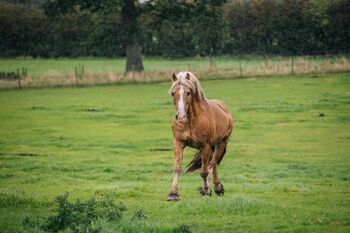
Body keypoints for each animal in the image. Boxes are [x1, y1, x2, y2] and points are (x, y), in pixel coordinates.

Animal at [166, 70, 232, 200]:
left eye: (188, 92)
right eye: (173, 93)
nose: (180, 117)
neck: (191, 121)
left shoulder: (205, 146)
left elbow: (204, 172)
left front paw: (206, 191)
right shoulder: (178, 143)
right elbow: (177, 168)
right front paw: (173, 193)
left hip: (220, 143)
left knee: (212, 164)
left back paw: (216, 188)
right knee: (213, 164)